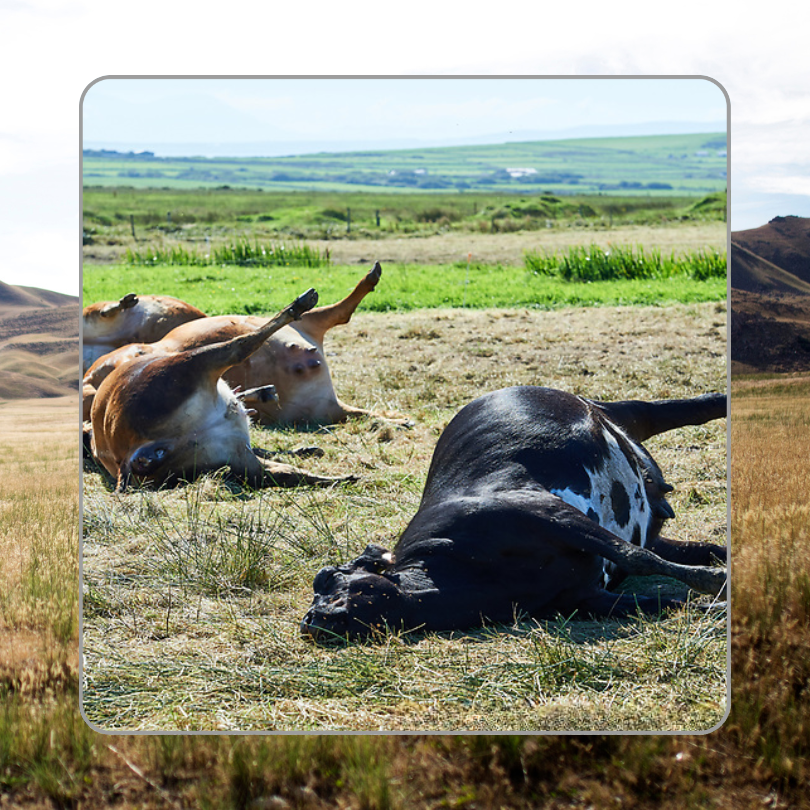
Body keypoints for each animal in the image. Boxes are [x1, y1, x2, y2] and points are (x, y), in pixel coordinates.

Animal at [87, 288, 355, 493]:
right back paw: (301, 304)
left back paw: (343, 478)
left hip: (235, 457)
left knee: (284, 473)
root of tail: (133, 453)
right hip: (194, 365)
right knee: (241, 345)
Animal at [300, 386, 727, 641]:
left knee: (680, 409)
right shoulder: (588, 599)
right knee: (692, 546)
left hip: (619, 412)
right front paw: (715, 601)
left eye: (329, 577)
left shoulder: (547, 513)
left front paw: (714, 580)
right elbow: (666, 602)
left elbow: (634, 556)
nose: (310, 618)